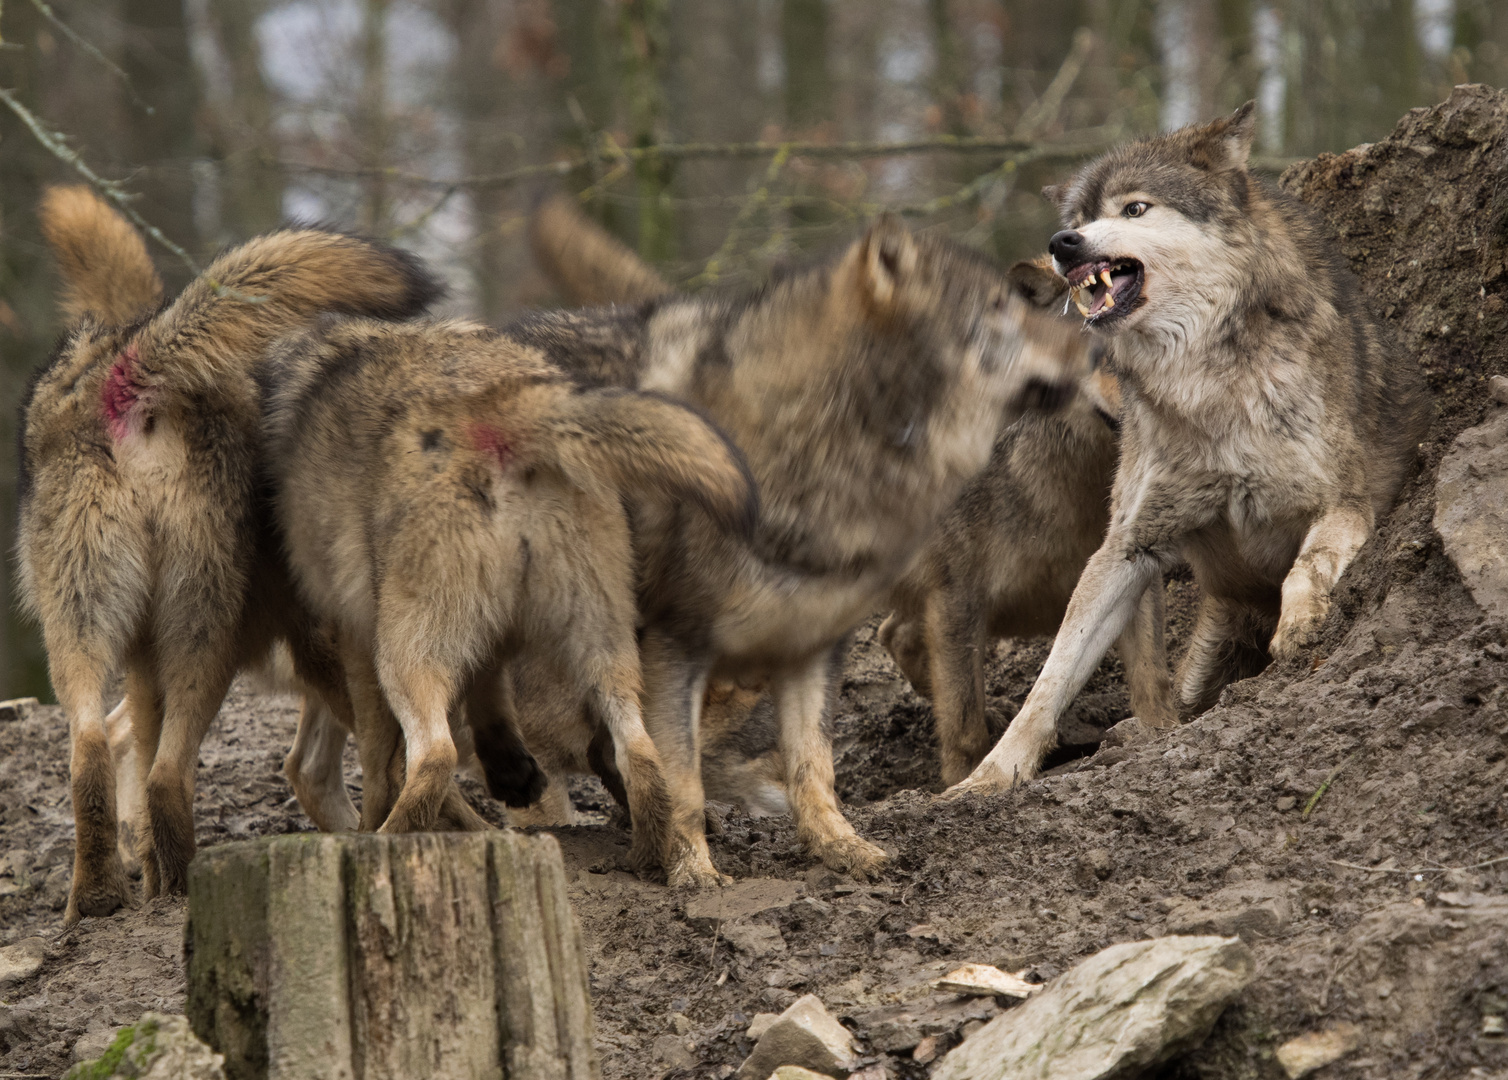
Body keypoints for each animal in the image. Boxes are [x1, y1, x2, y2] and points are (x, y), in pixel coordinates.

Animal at [20, 185, 440, 917]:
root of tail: (127, 375)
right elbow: (392, 761)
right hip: (203, 640)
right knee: (165, 774)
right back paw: (174, 889)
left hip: (97, 632)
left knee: (100, 751)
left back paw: (110, 895)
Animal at [259, 313, 760, 874]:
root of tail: (503, 411)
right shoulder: (493, 639)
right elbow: (490, 699)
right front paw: (511, 770)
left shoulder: (357, 641)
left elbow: (377, 763)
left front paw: (372, 824)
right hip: (604, 648)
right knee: (639, 754)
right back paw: (647, 856)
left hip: (406, 657)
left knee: (432, 758)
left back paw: (387, 840)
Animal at [947, 103, 1429, 790]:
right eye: (1076, 220)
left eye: (1134, 209)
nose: (1064, 243)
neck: (1204, 386)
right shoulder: (1126, 547)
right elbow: (1051, 678)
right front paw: (988, 779)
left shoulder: (1345, 504)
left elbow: (1307, 565)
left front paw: (1301, 626)